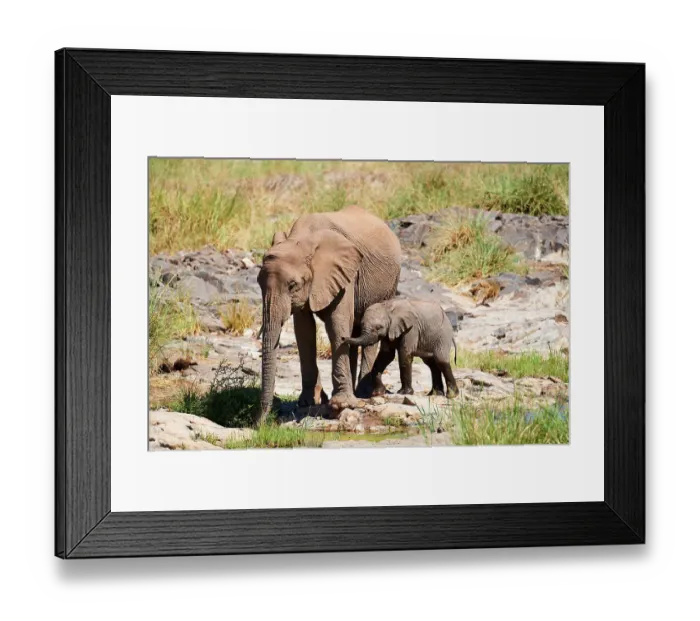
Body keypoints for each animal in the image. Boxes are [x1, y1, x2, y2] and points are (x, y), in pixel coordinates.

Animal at [256, 205, 402, 425]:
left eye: (292, 285)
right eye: (258, 283)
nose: (261, 423)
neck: (301, 239)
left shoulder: (344, 273)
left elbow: (337, 324)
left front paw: (341, 405)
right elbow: (304, 331)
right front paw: (310, 402)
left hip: (389, 284)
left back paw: (364, 393)